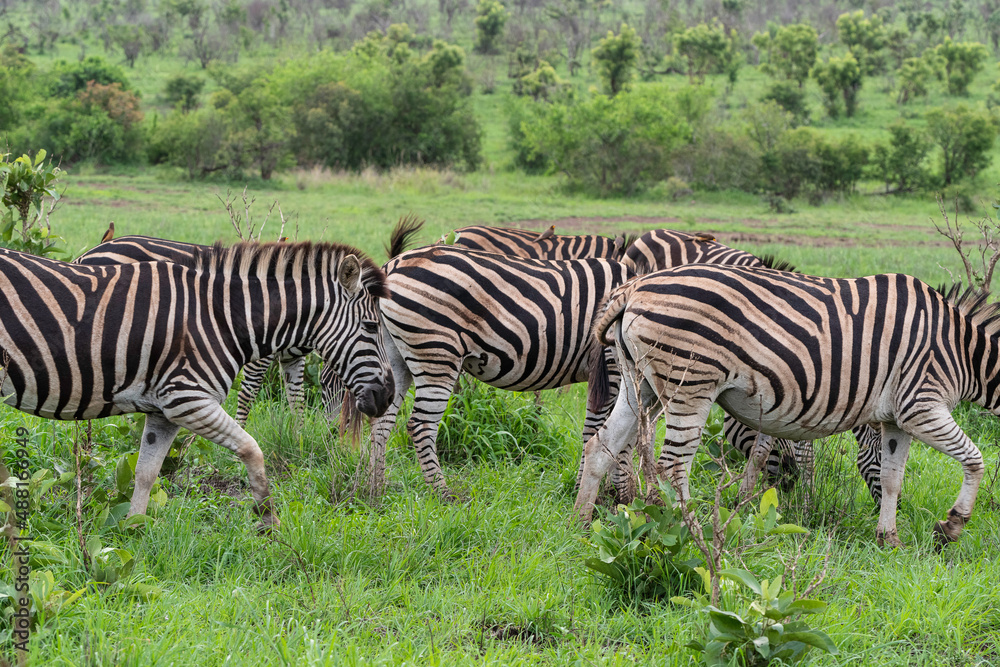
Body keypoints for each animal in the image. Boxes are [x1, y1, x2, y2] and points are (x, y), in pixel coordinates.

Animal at [75, 235, 311, 425]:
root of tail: (89, 253)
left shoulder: (294, 358)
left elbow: (297, 400)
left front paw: (299, 438)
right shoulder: (260, 353)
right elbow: (248, 394)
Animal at [578, 266, 990, 548]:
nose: (903, 508)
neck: (963, 351)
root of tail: (632, 288)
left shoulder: (892, 418)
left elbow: (890, 476)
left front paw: (889, 539)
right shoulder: (920, 404)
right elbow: (974, 459)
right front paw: (951, 526)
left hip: (639, 383)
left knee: (601, 445)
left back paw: (580, 524)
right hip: (690, 382)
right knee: (671, 467)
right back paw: (695, 534)